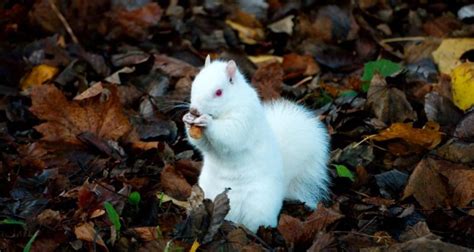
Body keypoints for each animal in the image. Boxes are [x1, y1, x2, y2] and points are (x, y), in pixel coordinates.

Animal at [181, 56, 330, 232]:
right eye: (194, 85)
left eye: (219, 92)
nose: (194, 110)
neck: (229, 106)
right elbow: (203, 144)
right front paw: (187, 119)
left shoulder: (245, 117)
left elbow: (230, 135)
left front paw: (207, 121)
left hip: (259, 204)